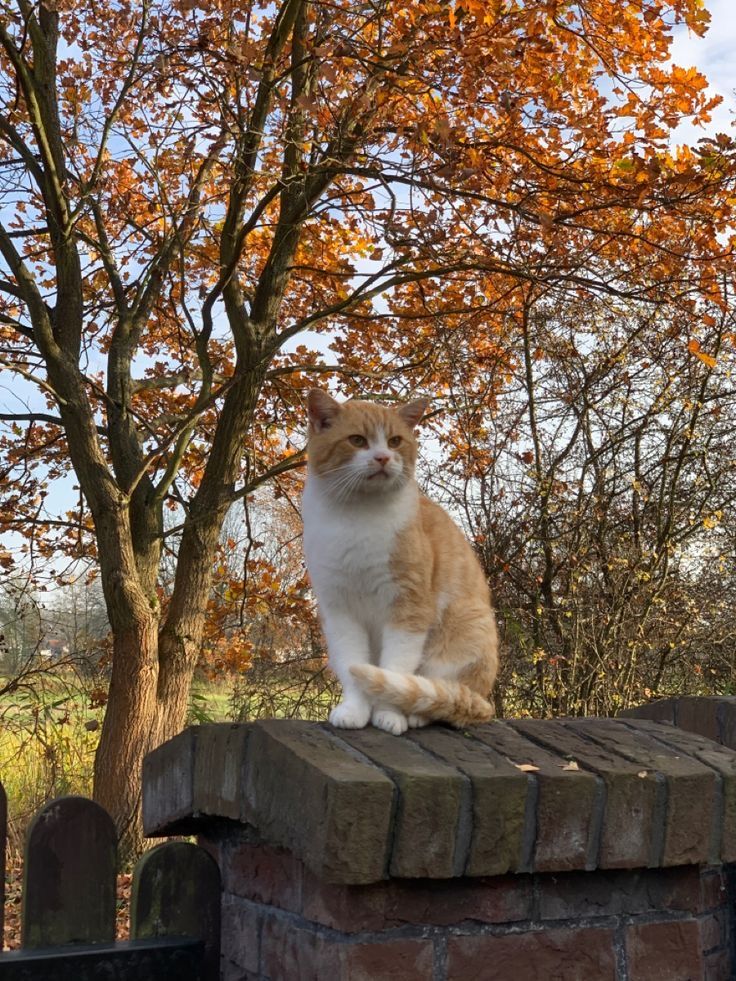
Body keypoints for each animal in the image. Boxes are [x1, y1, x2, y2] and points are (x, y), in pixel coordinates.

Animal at [300, 386, 500, 732]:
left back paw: (419, 713)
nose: (382, 457)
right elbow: (354, 664)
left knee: (448, 696)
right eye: (357, 440)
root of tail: (485, 702)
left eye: (394, 441)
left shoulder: (408, 607)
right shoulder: (340, 611)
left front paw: (389, 714)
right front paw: (355, 710)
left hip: (465, 629)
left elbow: (394, 668)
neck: (358, 518)